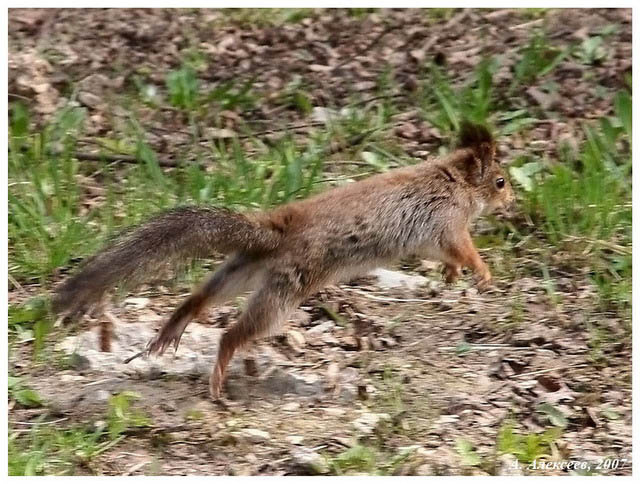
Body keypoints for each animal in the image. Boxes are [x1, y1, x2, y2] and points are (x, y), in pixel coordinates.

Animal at [53, 121, 515, 400]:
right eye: (500, 180)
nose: (512, 200)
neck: (452, 181)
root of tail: (278, 228)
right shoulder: (448, 222)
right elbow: (464, 249)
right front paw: (484, 273)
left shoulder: (434, 236)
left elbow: (448, 257)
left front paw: (453, 275)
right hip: (285, 287)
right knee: (233, 334)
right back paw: (218, 378)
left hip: (243, 269)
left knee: (199, 298)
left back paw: (172, 330)